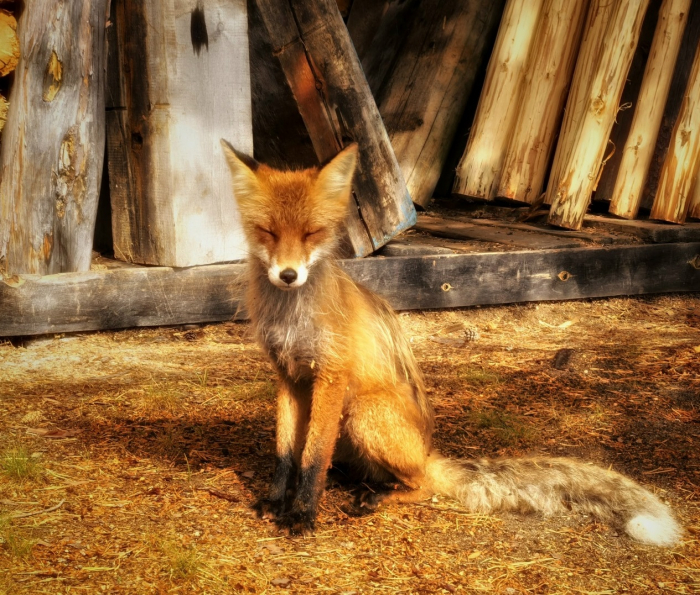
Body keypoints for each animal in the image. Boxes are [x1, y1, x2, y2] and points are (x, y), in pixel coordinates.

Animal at [221, 139, 681, 546]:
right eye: (267, 232)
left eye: (312, 233)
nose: (288, 275)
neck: (291, 316)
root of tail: (428, 451)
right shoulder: (288, 375)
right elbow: (286, 452)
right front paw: (277, 501)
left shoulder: (330, 377)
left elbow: (313, 457)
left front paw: (302, 514)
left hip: (364, 411)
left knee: (423, 485)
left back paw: (379, 497)